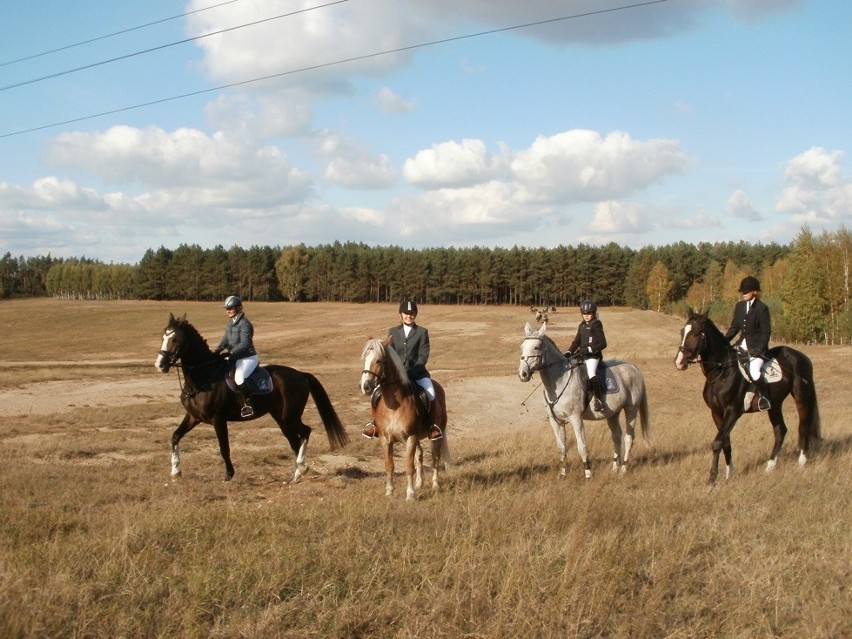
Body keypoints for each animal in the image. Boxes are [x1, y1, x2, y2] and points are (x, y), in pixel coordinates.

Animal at [155, 312, 348, 482]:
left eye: (175, 339)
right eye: (163, 337)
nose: (160, 365)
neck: (203, 377)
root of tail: (300, 374)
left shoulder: (218, 419)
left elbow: (224, 448)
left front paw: (229, 474)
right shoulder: (193, 417)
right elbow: (175, 436)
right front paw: (175, 472)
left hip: (290, 416)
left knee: (305, 432)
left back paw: (302, 467)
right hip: (280, 418)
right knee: (294, 441)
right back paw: (296, 475)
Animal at [360, 338, 452, 502]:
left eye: (379, 360)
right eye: (365, 359)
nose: (366, 387)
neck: (394, 405)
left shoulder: (411, 437)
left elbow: (409, 466)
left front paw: (410, 495)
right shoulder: (385, 439)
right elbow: (389, 465)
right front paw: (389, 491)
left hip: (435, 436)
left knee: (435, 457)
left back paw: (435, 485)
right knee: (420, 455)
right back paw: (419, 483)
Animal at [520, 320, 652, 480]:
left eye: (537, 347)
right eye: (522, 347)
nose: (523, 374)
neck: (560, 380)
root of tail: (633, 367)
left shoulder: (576, 418)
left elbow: (581, 446)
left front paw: (588, 473)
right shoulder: (556, 421)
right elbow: (561, 448)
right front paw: (563, 474)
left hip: (631, 409)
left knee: (629, 438)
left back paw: (623, 469)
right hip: (613, 413)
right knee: (616, 437)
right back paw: (615, 467)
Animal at [676, 308, 824, 482]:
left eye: (697, 333)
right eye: (682, 332)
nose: (679, 362)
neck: (721, 372)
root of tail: (802, 356)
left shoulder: (733, 412)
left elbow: (717, 443)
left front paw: (712, 478)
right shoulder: (716, 413)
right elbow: (725, 442)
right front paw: (729, 474)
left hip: (802, 396)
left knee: (803, 425)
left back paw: (801, 462)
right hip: (775, 404)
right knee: (780, 430)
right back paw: (769, 467)